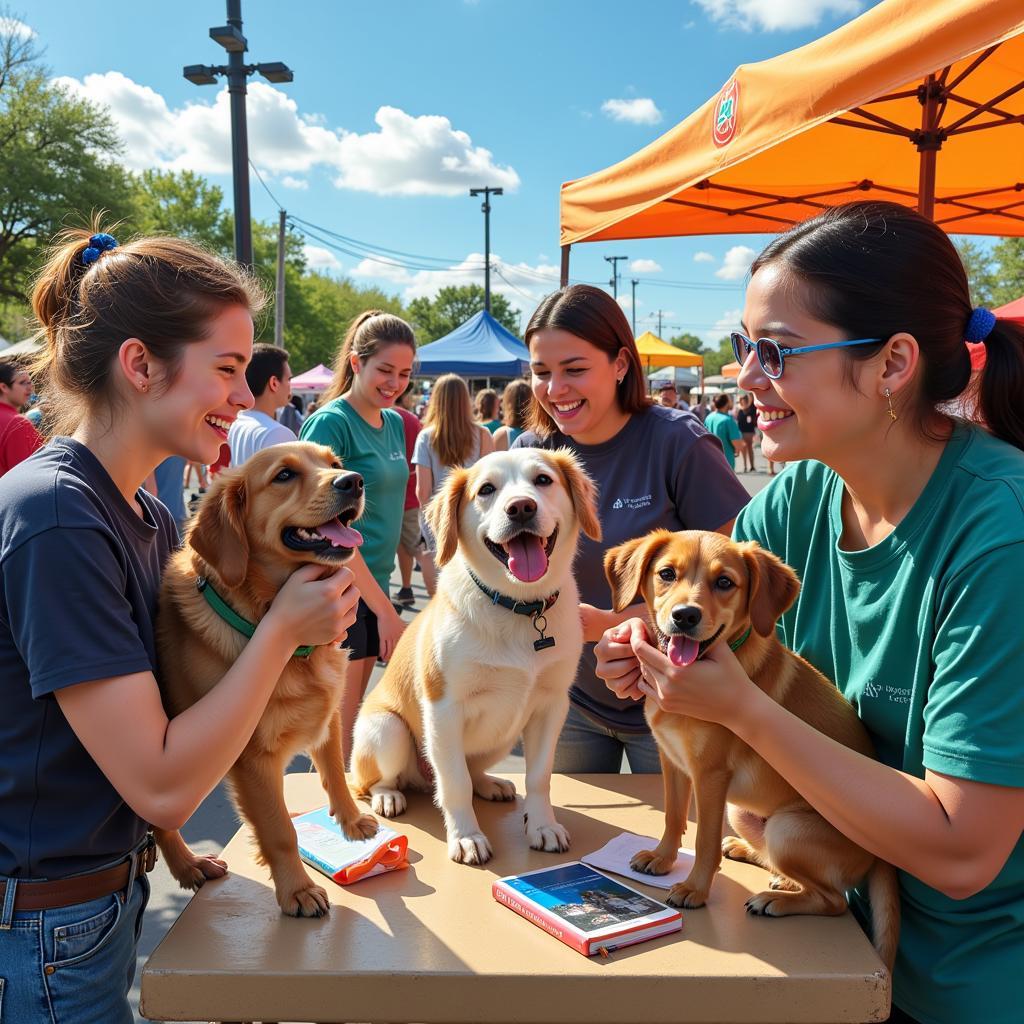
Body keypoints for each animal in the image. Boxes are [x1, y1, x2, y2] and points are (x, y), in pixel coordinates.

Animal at [151, 442, 376, 921]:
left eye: (333, 463)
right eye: (284, 475)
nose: (353, 481)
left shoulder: (329, 718)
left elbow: (335, 772)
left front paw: (349, 821)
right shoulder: (253, 759)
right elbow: (279, 829)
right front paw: (296, 889)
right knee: (160, 824)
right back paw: (187, 865)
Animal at [356, 448, 602, 864]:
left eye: (543, 480)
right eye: (486, 489)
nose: (521, 508)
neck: (519, 607)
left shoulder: (551, 706)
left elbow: (539, 777)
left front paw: (542, 826)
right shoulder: (443, 709)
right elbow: (454, 783)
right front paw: (467, 836)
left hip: (503, 737)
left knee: (472, 774)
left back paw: (489, 783)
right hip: (386, 731)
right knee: (376, 781)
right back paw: (388, 795)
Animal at [602, 532, 901, 970]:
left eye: (725, 582)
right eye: (667, 574)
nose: (685, 616)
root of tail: (880, 856)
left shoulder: (710, 777)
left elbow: (704, 841)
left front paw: (694, 889)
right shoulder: (672, 762)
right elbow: (674, 817)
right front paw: (662, 858)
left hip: (786, 828)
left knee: (833, 901)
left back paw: (774, 900)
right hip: (741, 812)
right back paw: (763, 865)